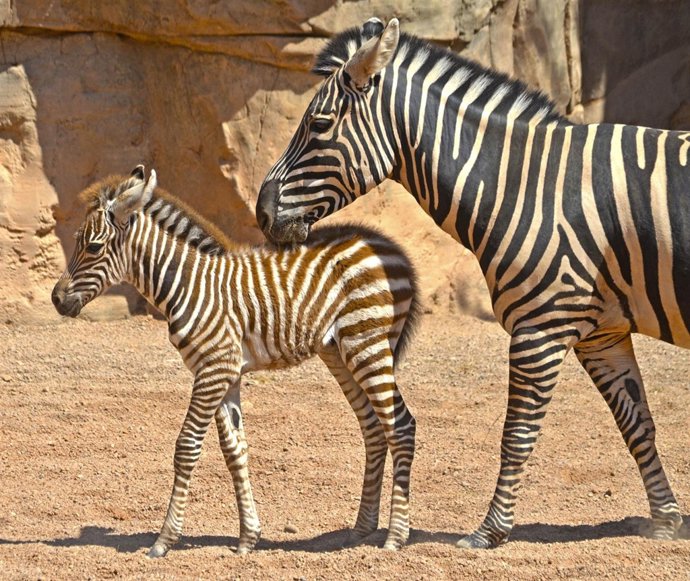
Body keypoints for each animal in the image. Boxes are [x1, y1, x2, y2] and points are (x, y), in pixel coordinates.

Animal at [51, 165, 420, 557]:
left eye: (92, 246)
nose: (56, 300)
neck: (187, 284)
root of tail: (390, 246)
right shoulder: (222, 371)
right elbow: (234, 451)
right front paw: (247, 537)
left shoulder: (214, 368)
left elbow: (186, 446)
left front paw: (164, 540)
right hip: (340, 351)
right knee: (374, 428)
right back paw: (362, 528)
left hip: (367, 344)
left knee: (401, 426)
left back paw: (396, 536)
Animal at [255, 17, 690, 548]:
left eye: (318, 125)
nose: (262, 212)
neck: (522, 186)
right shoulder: (600, 332)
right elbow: (637, 424)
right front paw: (665, 521)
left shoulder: (540, 328)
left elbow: (516, 435)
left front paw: (489, 531)